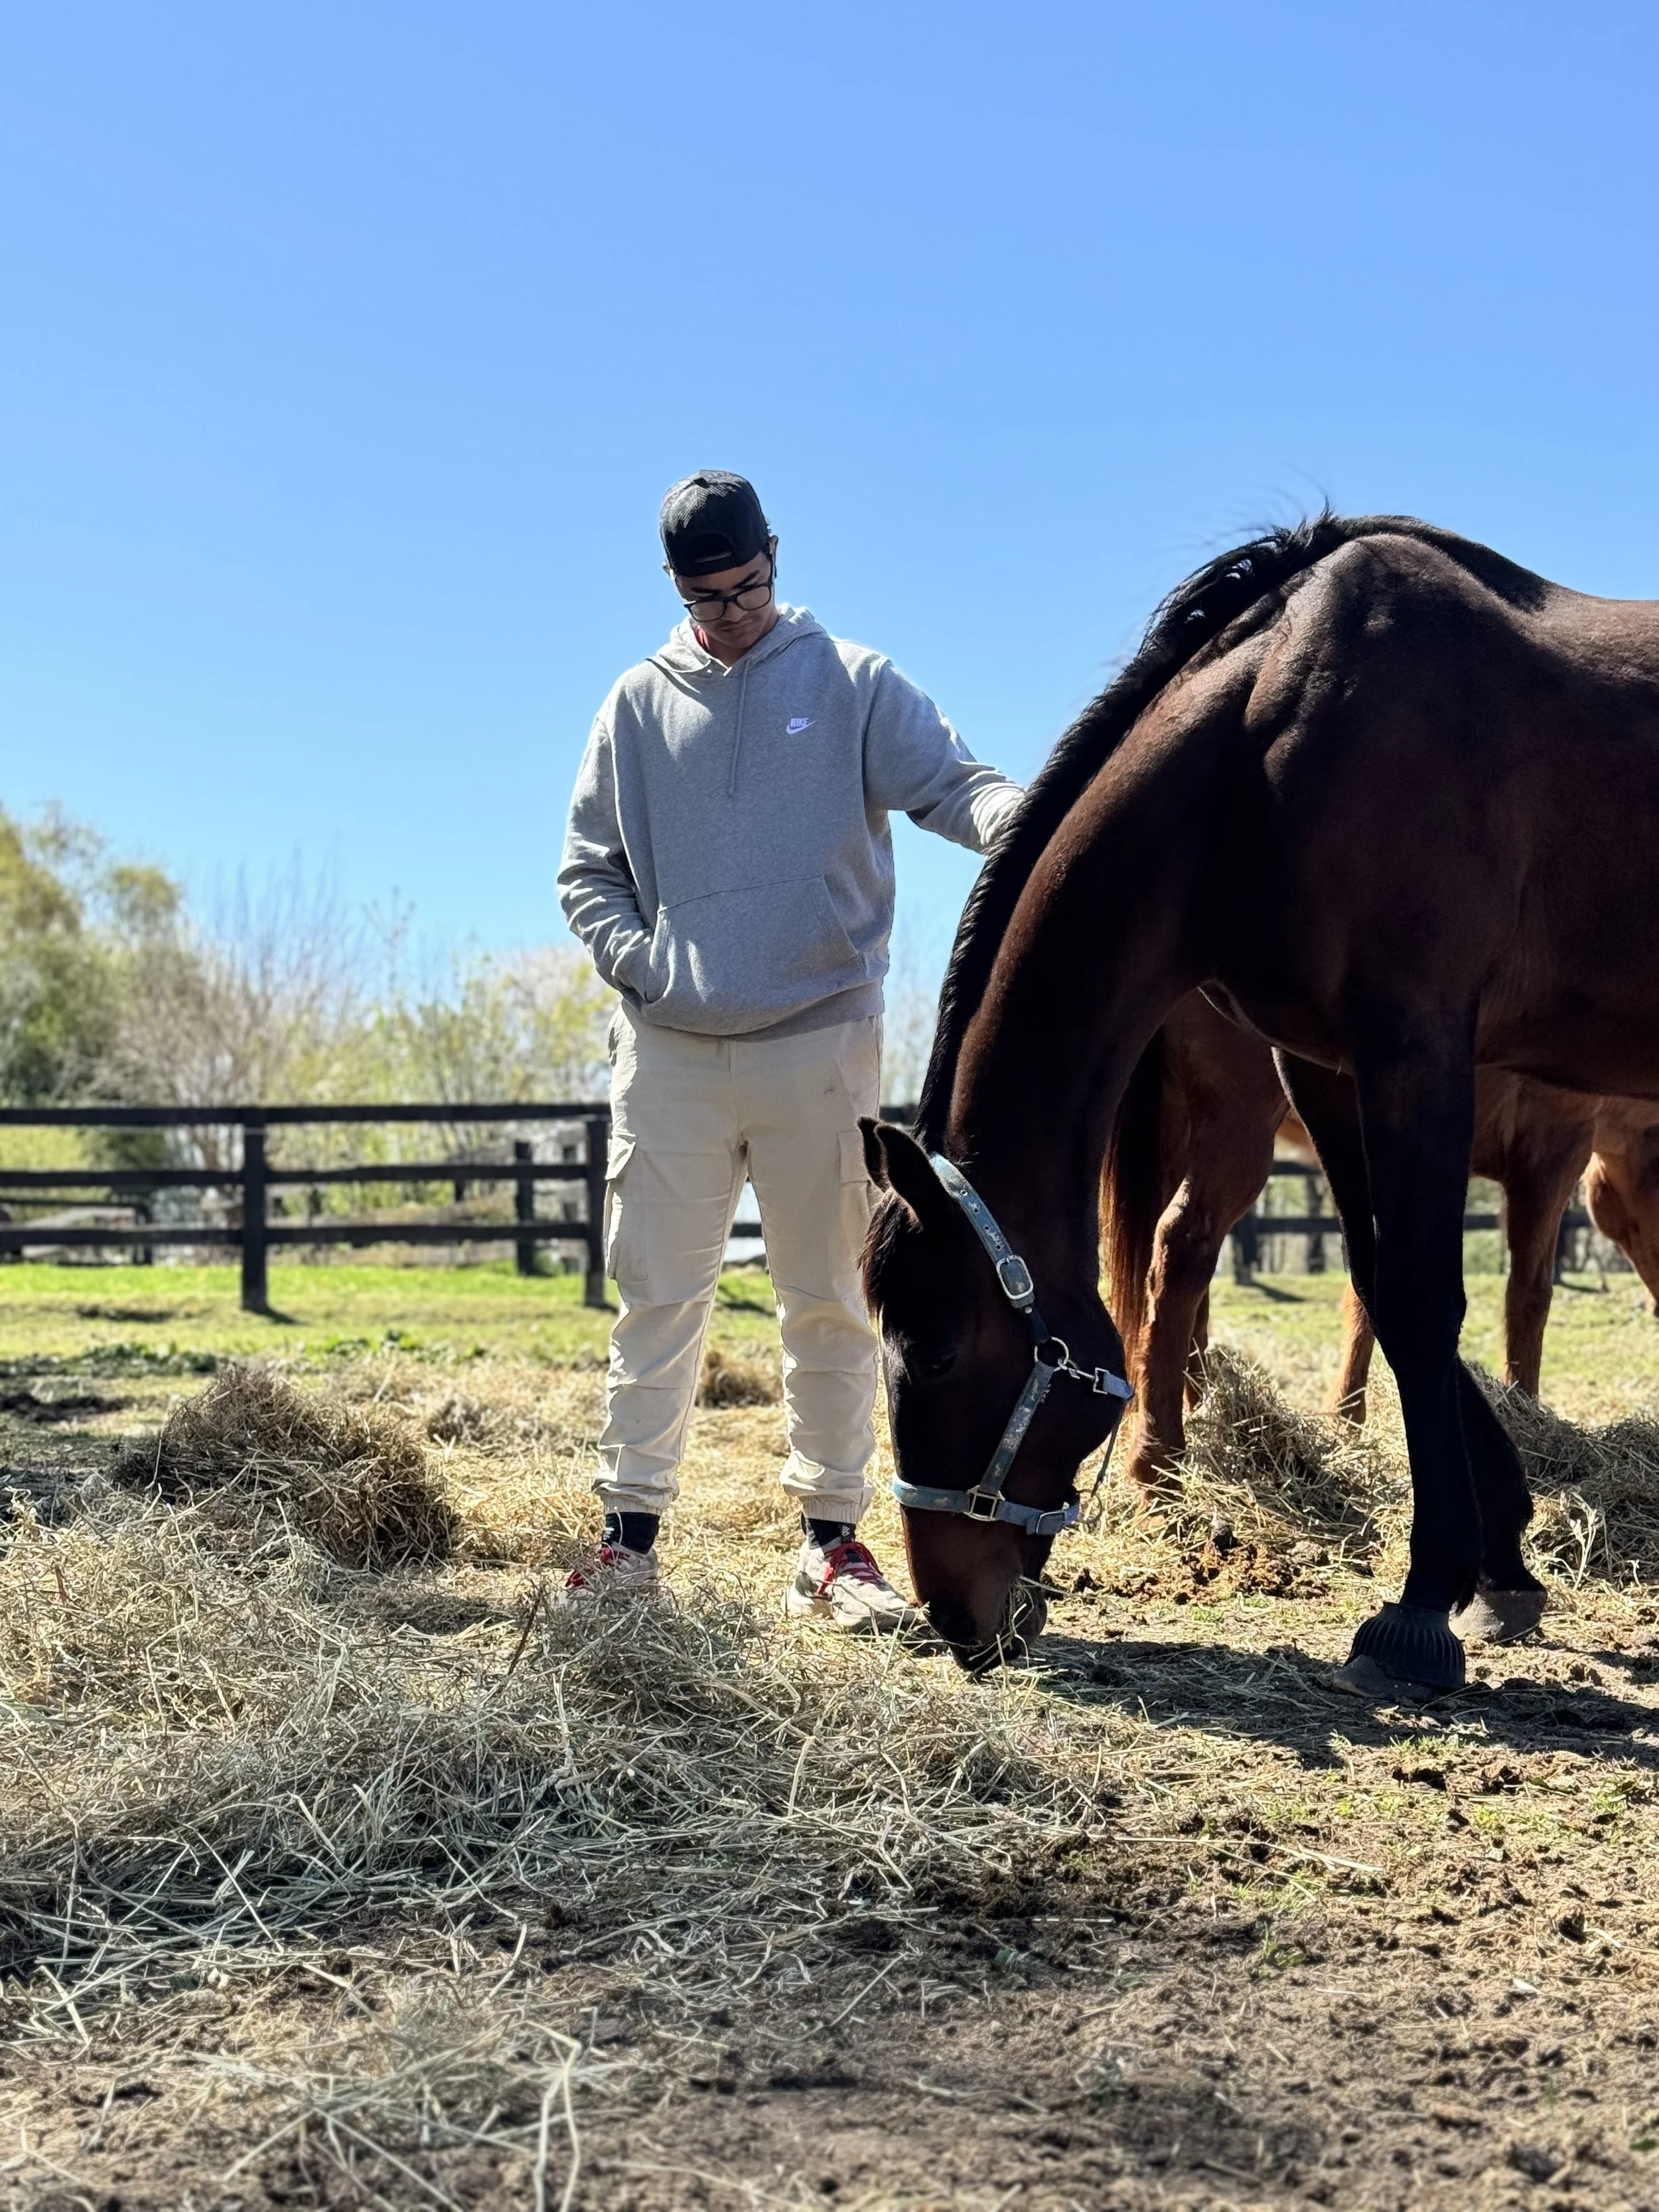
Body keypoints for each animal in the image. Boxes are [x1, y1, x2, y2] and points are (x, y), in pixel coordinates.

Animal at [1101, 989, 1659, 1487]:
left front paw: (1348, 1421)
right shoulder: (1551, 1157)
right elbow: (1529, 1296)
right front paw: (1526, 1413)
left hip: (1175, 1130)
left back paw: (1202, 1407)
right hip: (1235, 1128)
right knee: (1183, 1249)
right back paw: (1159, 1460)